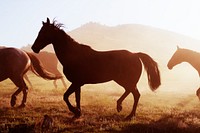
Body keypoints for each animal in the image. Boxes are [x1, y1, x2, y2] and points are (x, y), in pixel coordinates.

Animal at [31, 17, 162, 120]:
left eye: (44, 32)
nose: (34, 48)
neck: (73, 55)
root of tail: (135, 54)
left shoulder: (76, 82)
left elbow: (65, 96)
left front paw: (75, 111)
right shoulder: (77, 83)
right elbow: (77, 98)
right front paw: (78, 113)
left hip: (125, 81)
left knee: (135, 94)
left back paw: (126, 112)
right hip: (124, 81)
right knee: (132, 93)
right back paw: (123, 109)